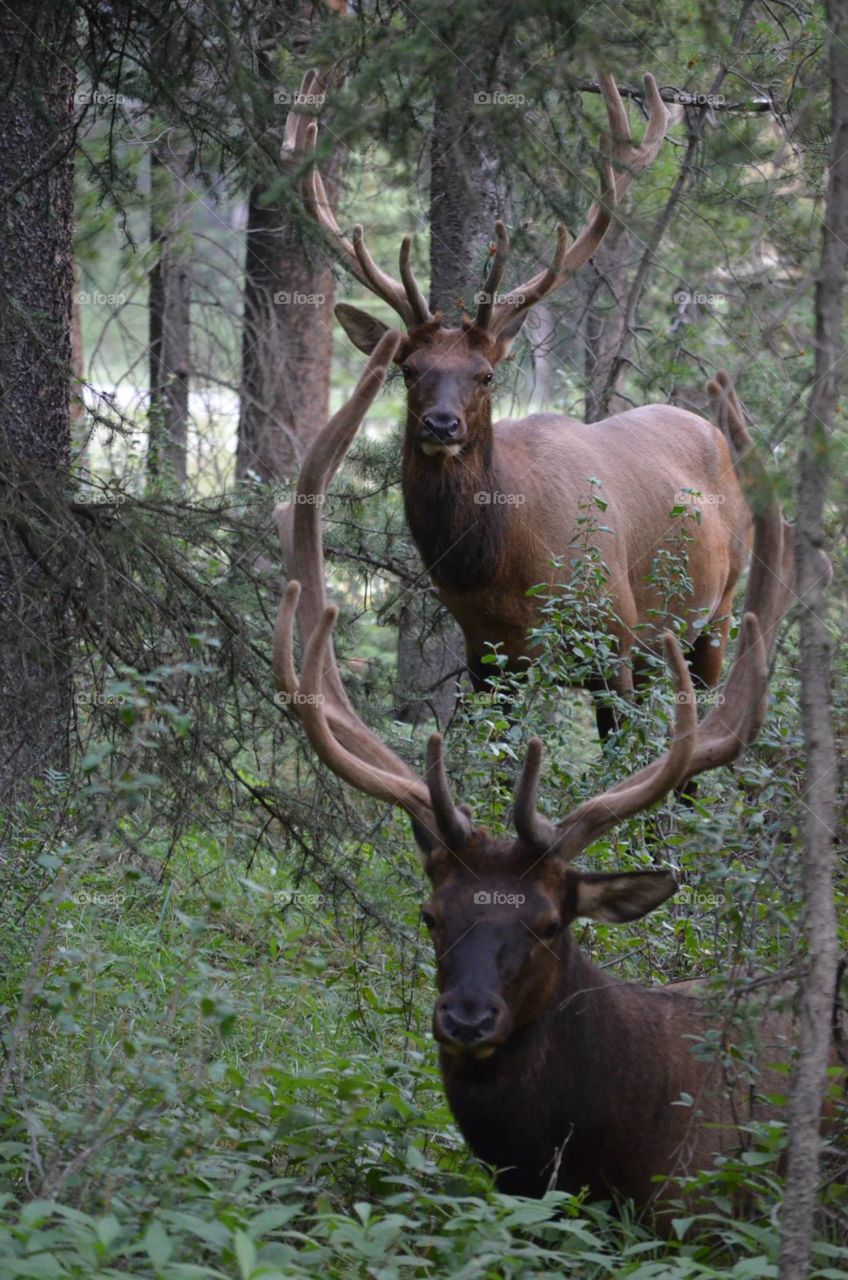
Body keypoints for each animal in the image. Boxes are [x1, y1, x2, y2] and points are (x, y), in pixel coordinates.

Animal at [284, 69, 753, 739]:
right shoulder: (487, 662)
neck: (499, 574)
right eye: (409, 369)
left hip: (718, 608)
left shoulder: (612, 639)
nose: (442, 424)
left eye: (484, 374)